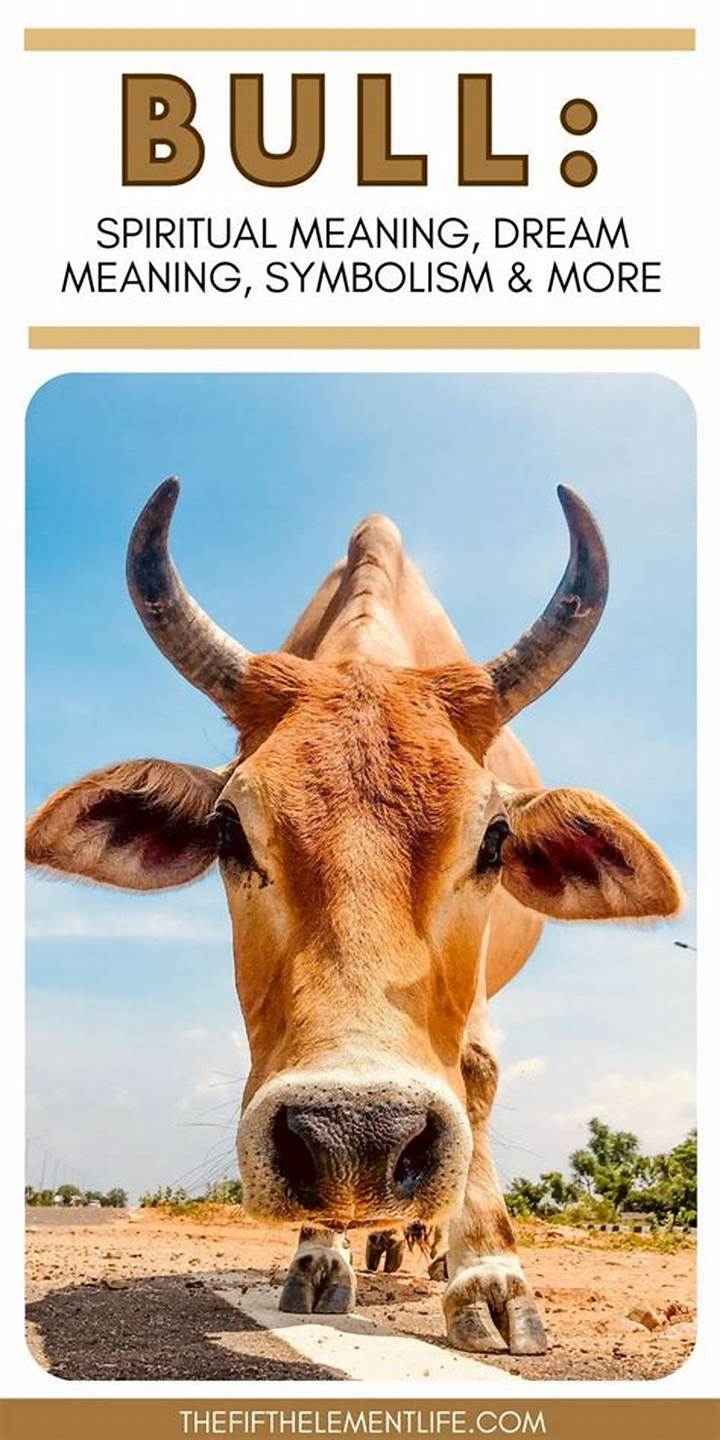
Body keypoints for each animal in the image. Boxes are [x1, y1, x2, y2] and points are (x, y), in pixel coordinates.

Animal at [26, 479, 682, 1356]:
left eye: (494, 839)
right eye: (229, 829)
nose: (359, 1135)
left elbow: (475, 1074)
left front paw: (489, 1278)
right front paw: (320, 1255)